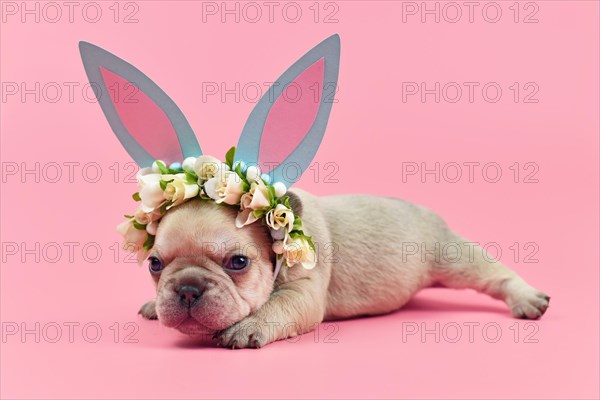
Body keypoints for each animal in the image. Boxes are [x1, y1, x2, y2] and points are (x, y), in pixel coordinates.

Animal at [138, 188, 552, 346]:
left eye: (237, 262)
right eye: (154, 264)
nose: (188, 288)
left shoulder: (303, 292)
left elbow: (278, 305)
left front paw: (248, 327)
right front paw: (153, 305)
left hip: (451, 256)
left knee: (493, 274)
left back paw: (525, 298)